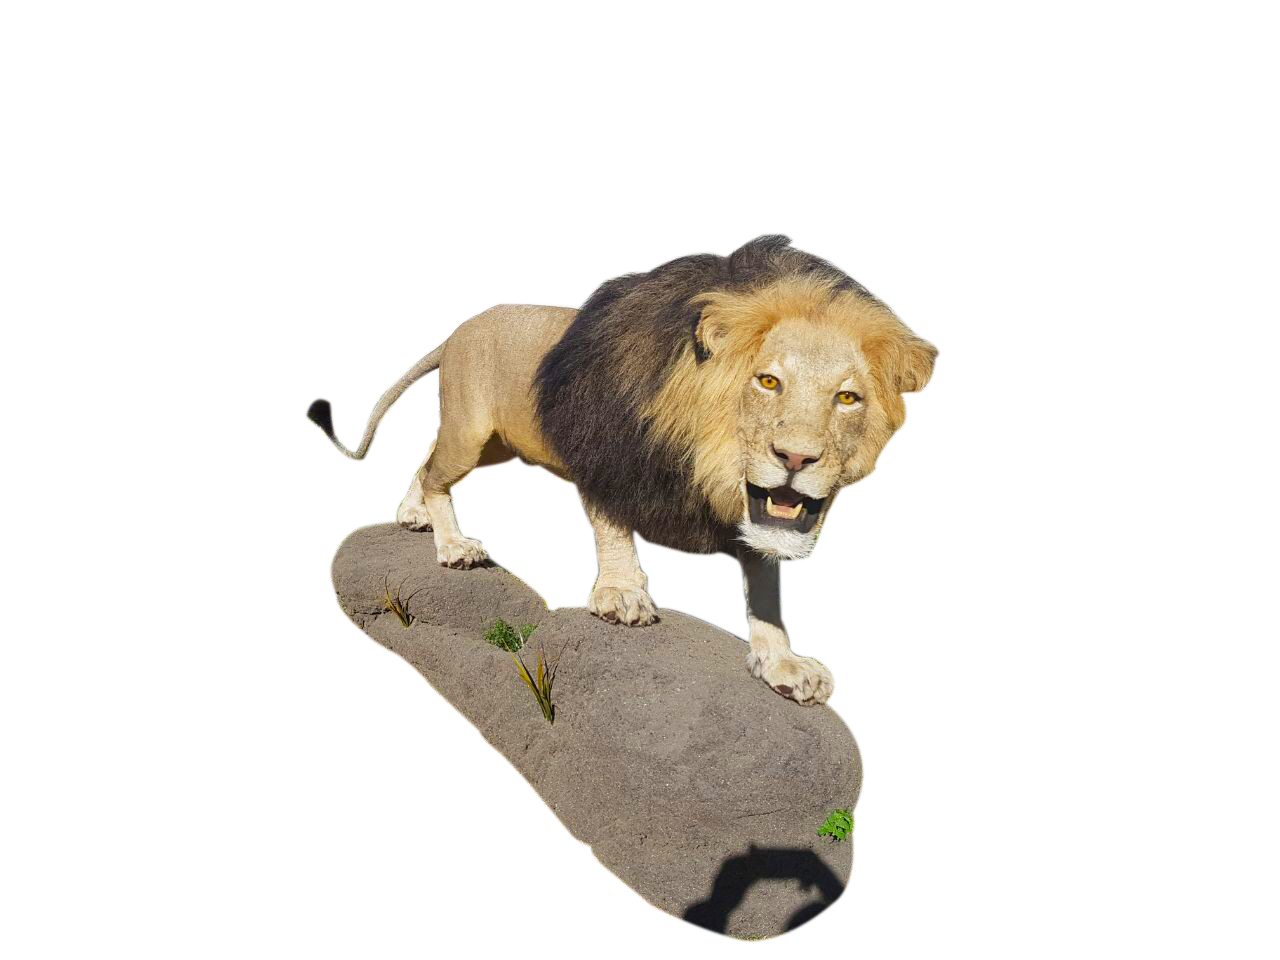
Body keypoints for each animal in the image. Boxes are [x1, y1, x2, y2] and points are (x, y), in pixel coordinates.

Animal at [308, 232, 939, 706]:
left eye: (848, 398)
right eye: (768, 381)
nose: (796, 458)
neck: (705, 459)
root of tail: (459, 326)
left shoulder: (750, 514)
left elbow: (765, 583)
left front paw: (781, 663)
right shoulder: (605, 457)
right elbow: (613, 527)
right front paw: (622, 595)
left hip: (500, 444)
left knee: (427, 461)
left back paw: (412, 515)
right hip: (472, 429)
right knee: (440, 471)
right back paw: (451, 545)